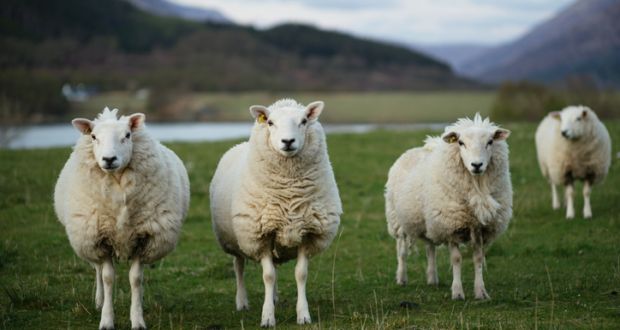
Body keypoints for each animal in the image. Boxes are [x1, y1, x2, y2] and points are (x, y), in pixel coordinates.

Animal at [53, 107, 189, 330]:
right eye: (93, 136)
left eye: (127, 135)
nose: (109, 159)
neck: (117, 184)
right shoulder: (101, 239)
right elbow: (108, 278)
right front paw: (106, 320)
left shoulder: (144, 238)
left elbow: (136, 279)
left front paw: (137, 318)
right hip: (89, 239)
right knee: (98, 270)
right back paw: (99, 301)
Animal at [211, 98, 342, 328]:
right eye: (270, 122)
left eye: (304, 120)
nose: (287, 141)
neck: (289, 192)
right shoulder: (260, 234)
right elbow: (268, 276)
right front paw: (267, 317)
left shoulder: (307, 232)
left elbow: (300, 274)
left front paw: (303, 314)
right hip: (236, 239)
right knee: (239, 266)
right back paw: (242, 302)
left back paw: (273, 298)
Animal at [386, 114, 512, 302]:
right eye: (460, 142)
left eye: (490, 142)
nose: (477, 165)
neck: (477, 188)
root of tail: (418, 148)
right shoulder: (452, 226)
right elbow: (457, 259)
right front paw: (457, 292)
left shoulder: (479, 228)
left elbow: (478, 259)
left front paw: (481, 292)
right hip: (398, 220)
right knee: (401, 251)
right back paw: (401, 278)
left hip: (429, 221)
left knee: (430, 249)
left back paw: (432, 278)